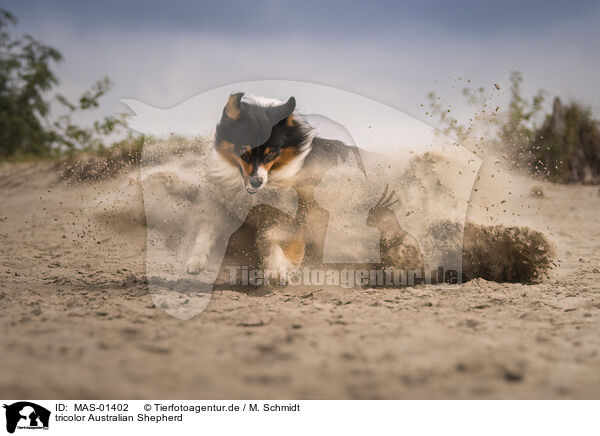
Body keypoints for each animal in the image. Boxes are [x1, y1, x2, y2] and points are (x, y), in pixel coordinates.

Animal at [186, 92, 366, 280]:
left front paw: (277, 269)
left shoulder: (292, 211)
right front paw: (196, 260)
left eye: (270, 153)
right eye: (244, 150)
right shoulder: (221, 203)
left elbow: (277, 238)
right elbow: (207, 226)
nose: (256, 181)